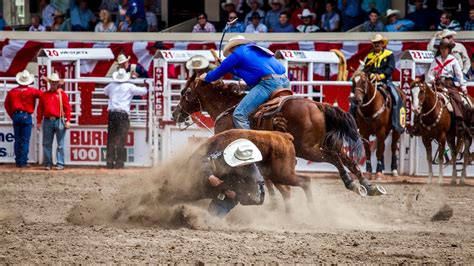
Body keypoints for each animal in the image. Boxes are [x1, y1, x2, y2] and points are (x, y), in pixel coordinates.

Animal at [170, 74, 386, 196]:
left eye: (185, 92)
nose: (175, 114)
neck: (227, 106)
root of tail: (317, 105)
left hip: (307, 149)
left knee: (334, 158)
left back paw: (351, 183)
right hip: (327, 144)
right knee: (348, 159)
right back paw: (368, 187)